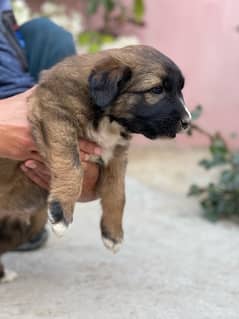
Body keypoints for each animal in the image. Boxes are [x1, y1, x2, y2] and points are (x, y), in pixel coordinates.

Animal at [0, 45, 191, 282]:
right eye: (156, 90)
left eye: (180, 89)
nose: (187, 122)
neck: (108, 118)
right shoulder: (54, 114)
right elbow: (73, 167)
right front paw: (62, 211)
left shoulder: (116, 152)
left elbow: (118, 193)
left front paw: (113, 232)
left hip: (28, 223)